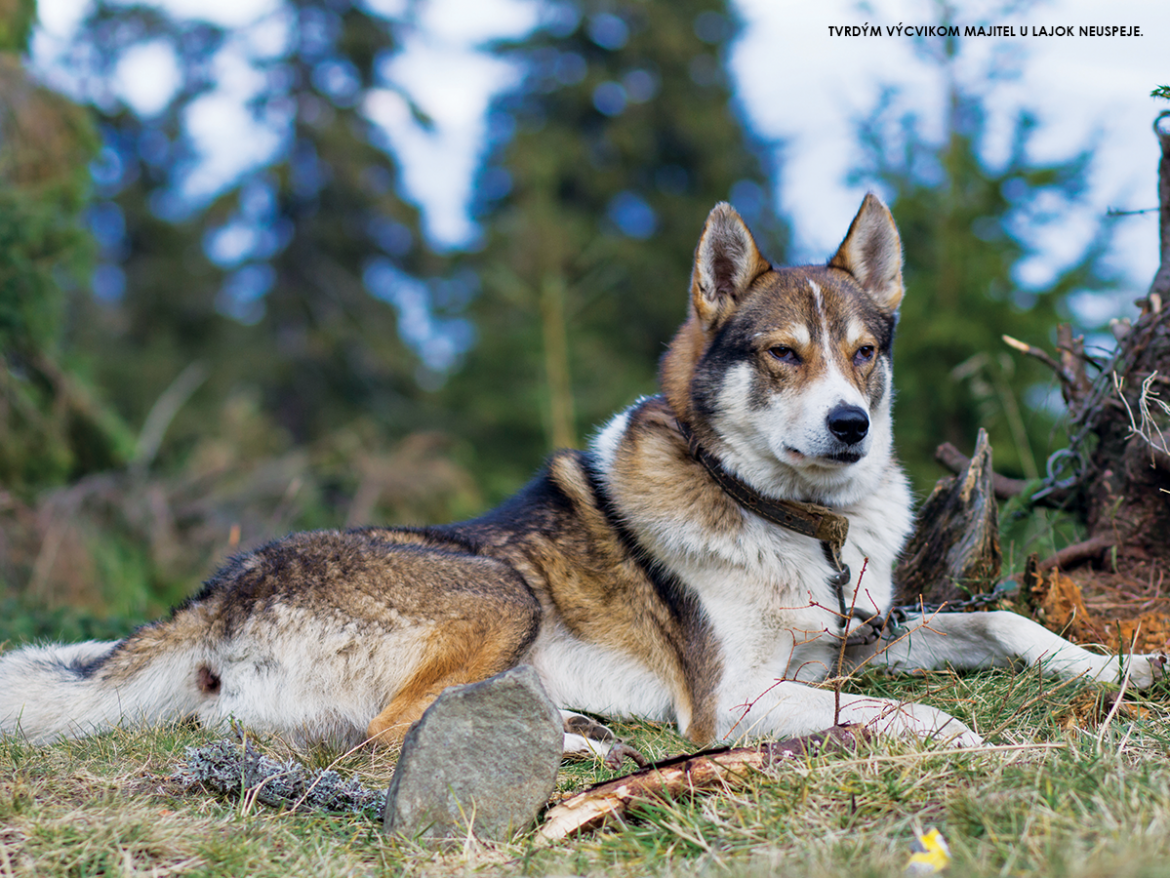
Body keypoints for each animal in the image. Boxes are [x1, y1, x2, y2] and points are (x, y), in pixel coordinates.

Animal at [0, 195, 1160, 758]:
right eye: (784, 354)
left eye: (865, 350)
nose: (851, 424)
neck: (796, 520)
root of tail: (215, 595)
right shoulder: (734, 702)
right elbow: (910, 714)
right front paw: (966, 738)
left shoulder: (859, 634)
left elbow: (1005, 623)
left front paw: (1125, 669)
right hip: (496, 592)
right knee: (380, 737)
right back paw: (571, 744)